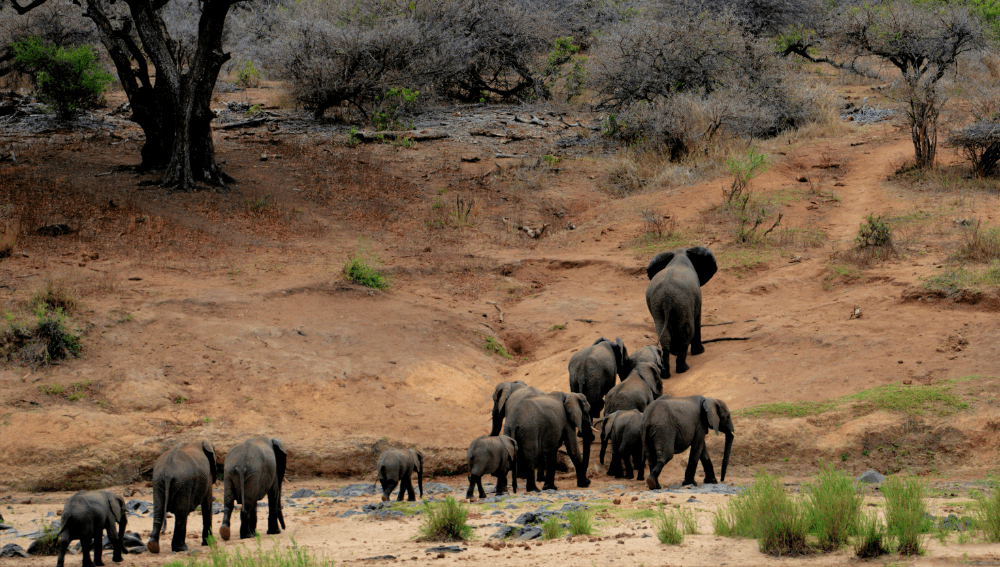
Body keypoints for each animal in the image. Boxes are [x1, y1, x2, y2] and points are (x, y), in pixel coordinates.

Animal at [644, 246, 716, 374]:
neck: (679, 253)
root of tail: (667, 298)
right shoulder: (696, 298)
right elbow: (697, 320)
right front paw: (700, 352)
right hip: (683, 302)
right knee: (687, 331)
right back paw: (683, 368)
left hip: (658, 305)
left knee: (664, 334)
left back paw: (665, 373)